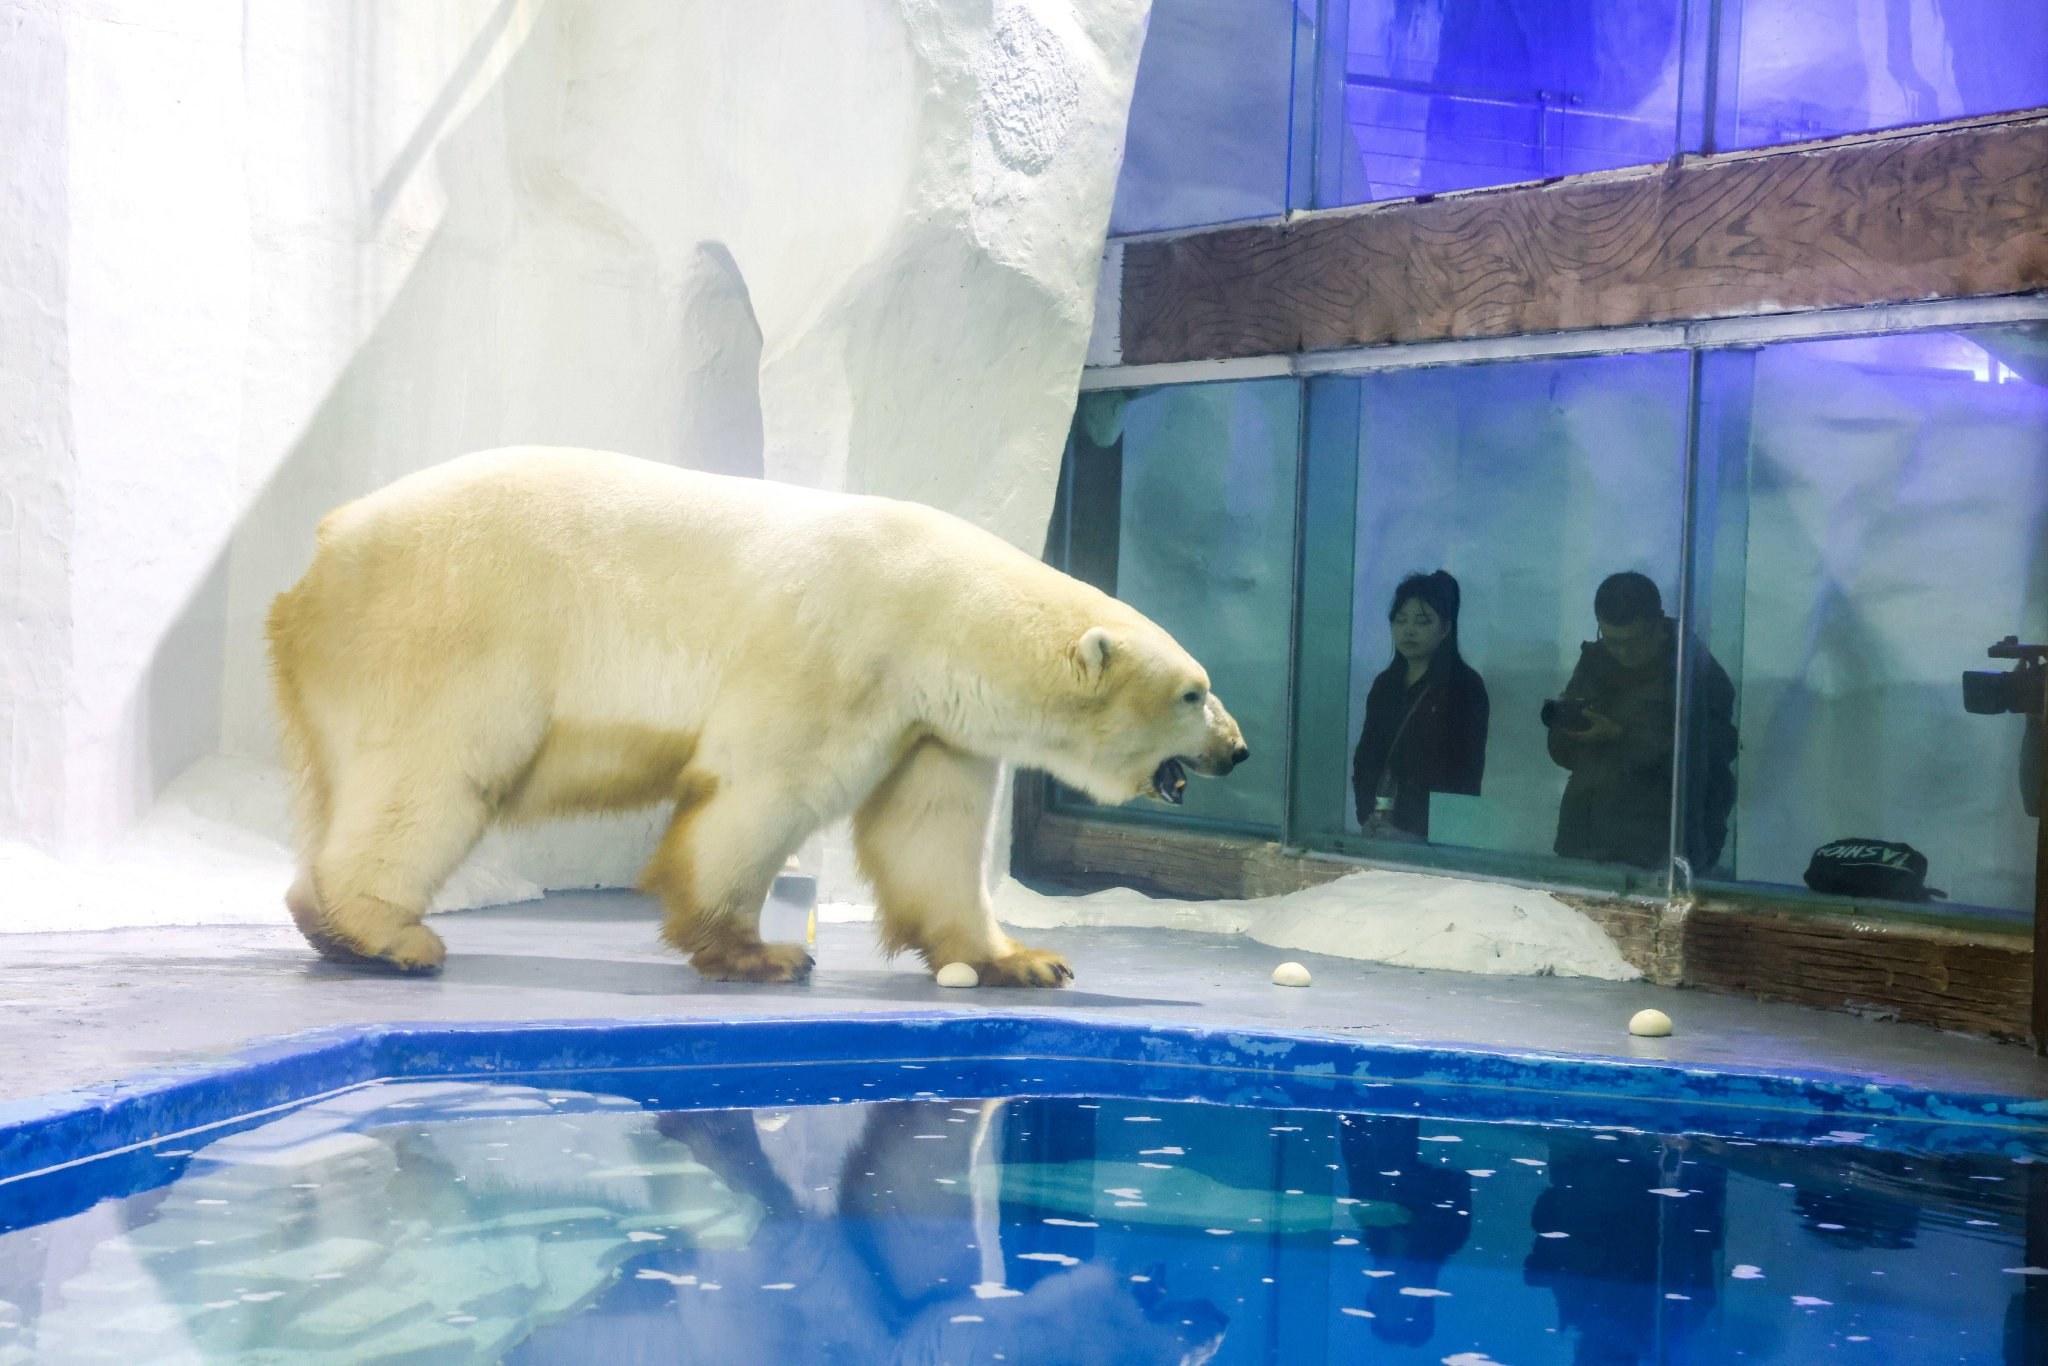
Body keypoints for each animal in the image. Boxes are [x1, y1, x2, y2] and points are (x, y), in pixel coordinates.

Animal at [266, 447, 1248, 986]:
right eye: (1193, 691)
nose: (1238, 749)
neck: (941, 608)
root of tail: (321, 549)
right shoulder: (838, 647)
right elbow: (764, 789)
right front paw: (760, 952)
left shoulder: (930, 722)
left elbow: (929, 833)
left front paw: (1024, 959)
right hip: (450, 628)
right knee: (432, 771)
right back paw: (386, 934)